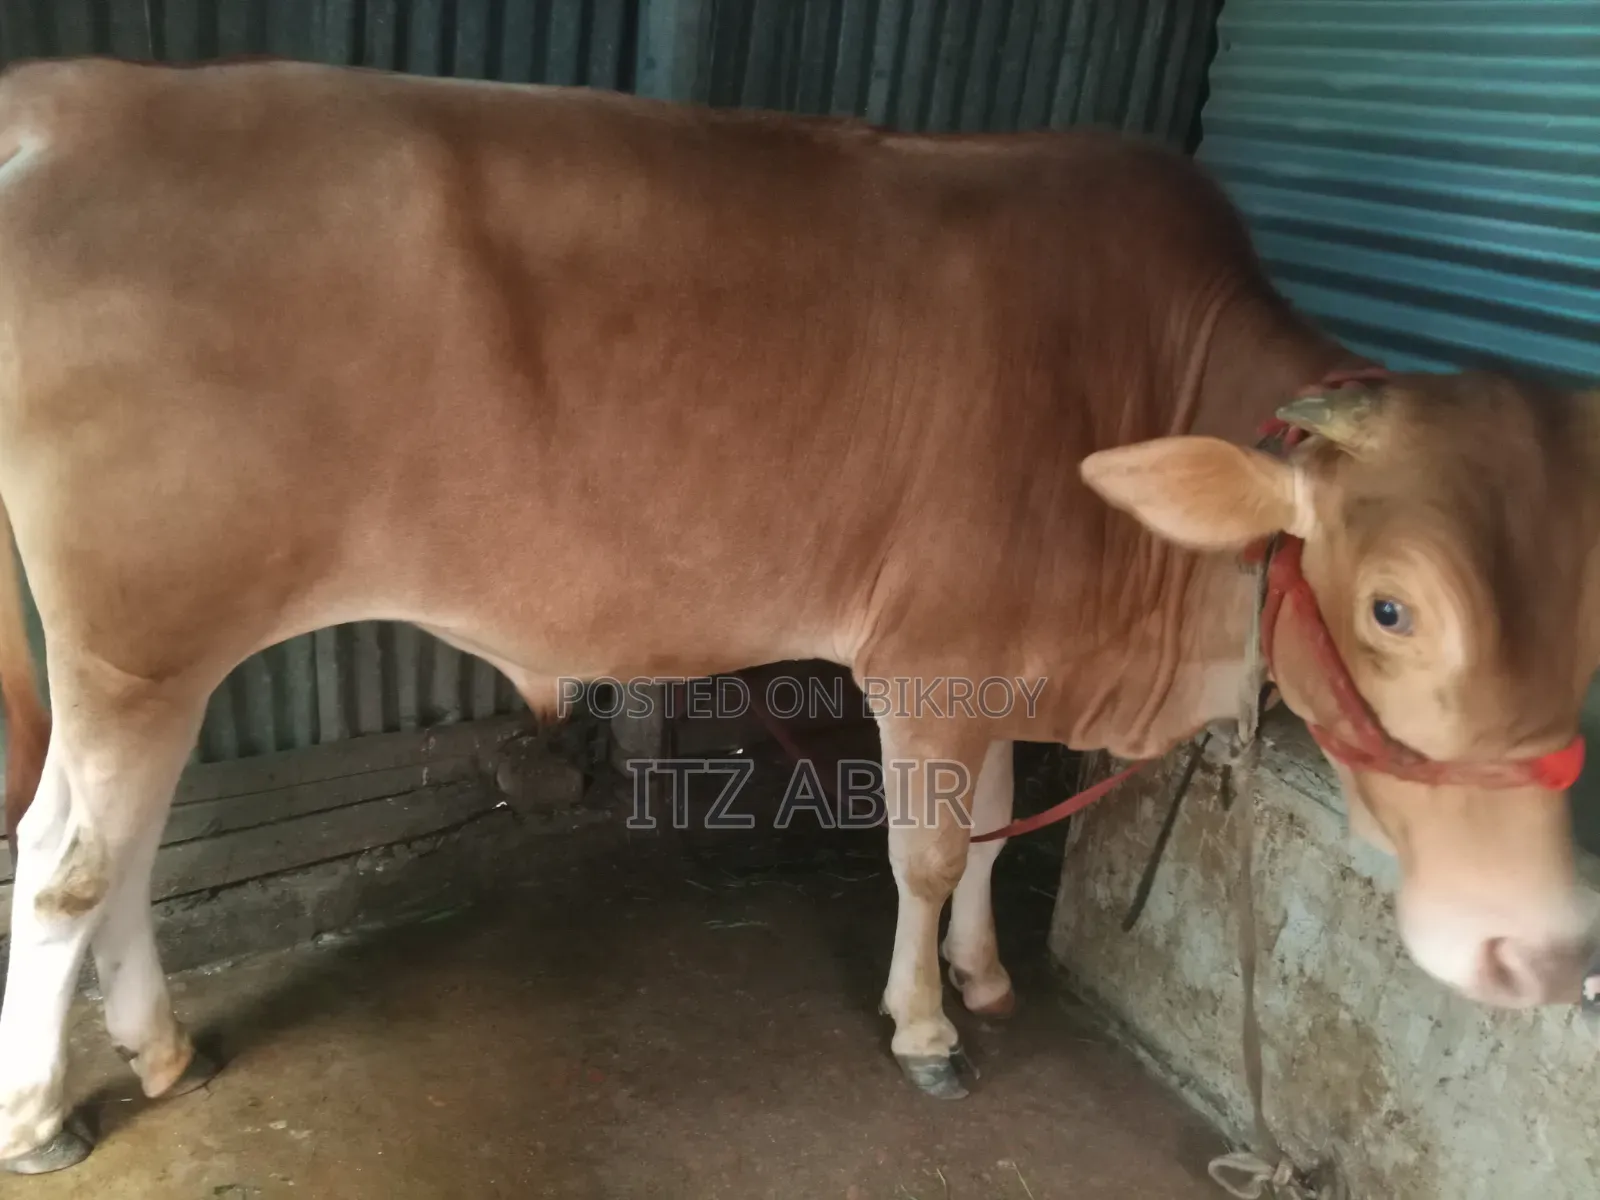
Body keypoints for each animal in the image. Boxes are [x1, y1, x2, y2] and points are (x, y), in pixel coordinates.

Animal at [0, 56, 1596, 1175]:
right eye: (1391, 605)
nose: (1539, 949)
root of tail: (80, 94)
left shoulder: (1004, 661)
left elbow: (996, 819)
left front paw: (988, 978)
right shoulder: (933, 656)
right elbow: (932, 849)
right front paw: (927, 1028)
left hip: (163, 655)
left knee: (121, 858)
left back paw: (160, 1050)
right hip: (134, 647)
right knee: (66, 870)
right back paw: (45, 1113)